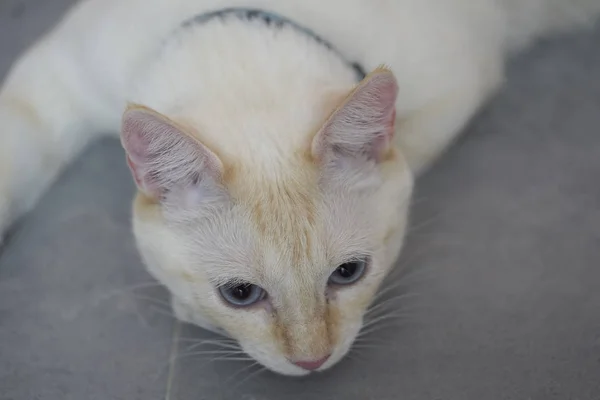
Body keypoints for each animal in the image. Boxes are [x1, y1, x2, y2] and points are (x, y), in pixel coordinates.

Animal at [0, 0, 596, 376]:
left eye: (349, 273)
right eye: (240, 295)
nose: (312, 362)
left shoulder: (457, 85)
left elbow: (406, 165)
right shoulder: (57, 79)